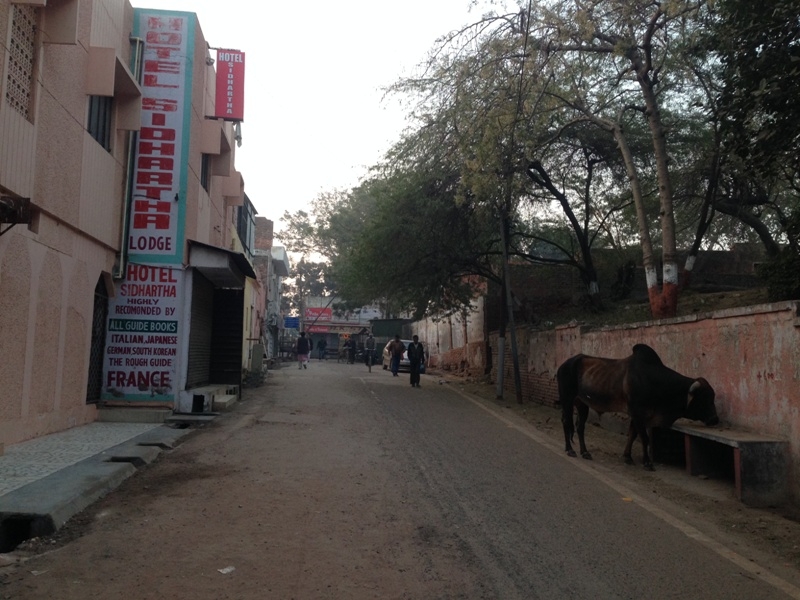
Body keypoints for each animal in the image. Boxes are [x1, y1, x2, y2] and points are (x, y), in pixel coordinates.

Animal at [556, 344, 720, 472]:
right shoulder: (638, 413)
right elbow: (644, 438)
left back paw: (584, 452)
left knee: (580, 427)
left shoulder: (637, 415)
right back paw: (570, 449)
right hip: (567, 400)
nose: (715, 419)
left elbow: (632, 435)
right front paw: (647, 463)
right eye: (704, 399)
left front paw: (627, 457)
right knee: (566, 422)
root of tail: (564, 365)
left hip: (582, 404)